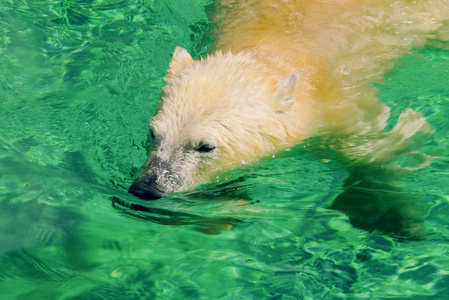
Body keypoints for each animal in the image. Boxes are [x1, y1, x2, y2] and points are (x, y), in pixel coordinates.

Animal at [129, 0, 448, 237]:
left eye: (205, 146)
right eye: (153, 133)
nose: (145, 189)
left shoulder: (339, 104)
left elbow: (370, 148)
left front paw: (391, 215)